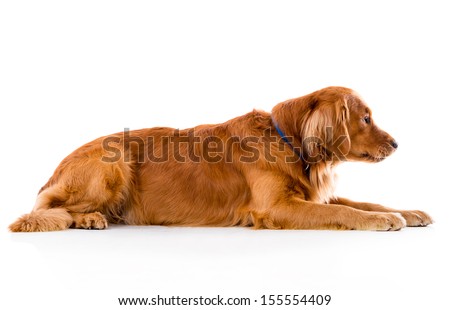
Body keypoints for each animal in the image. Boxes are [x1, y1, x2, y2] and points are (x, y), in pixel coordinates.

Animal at [9, 86, 432, 231]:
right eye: (366, 118)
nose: (397, 143)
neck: (288, 141)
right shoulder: (276, 208)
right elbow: (347, 211)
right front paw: (383, 221)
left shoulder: (313, 195)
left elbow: (366, 202)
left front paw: (408, 212)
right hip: (113, 163)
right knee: (43, 210)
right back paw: (88, 219)